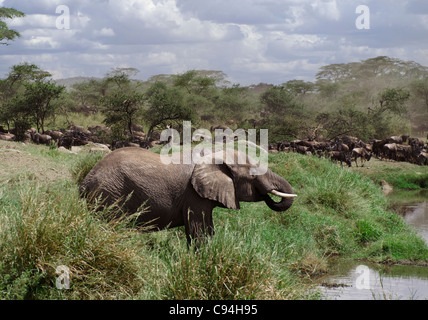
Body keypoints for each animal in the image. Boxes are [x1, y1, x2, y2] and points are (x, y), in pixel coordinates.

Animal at [78, 147, 296, 242]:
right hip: (109, 194)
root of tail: (84, 182)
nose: (268, 194)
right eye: (253, 174)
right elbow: (199, 230)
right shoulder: (193, 193)